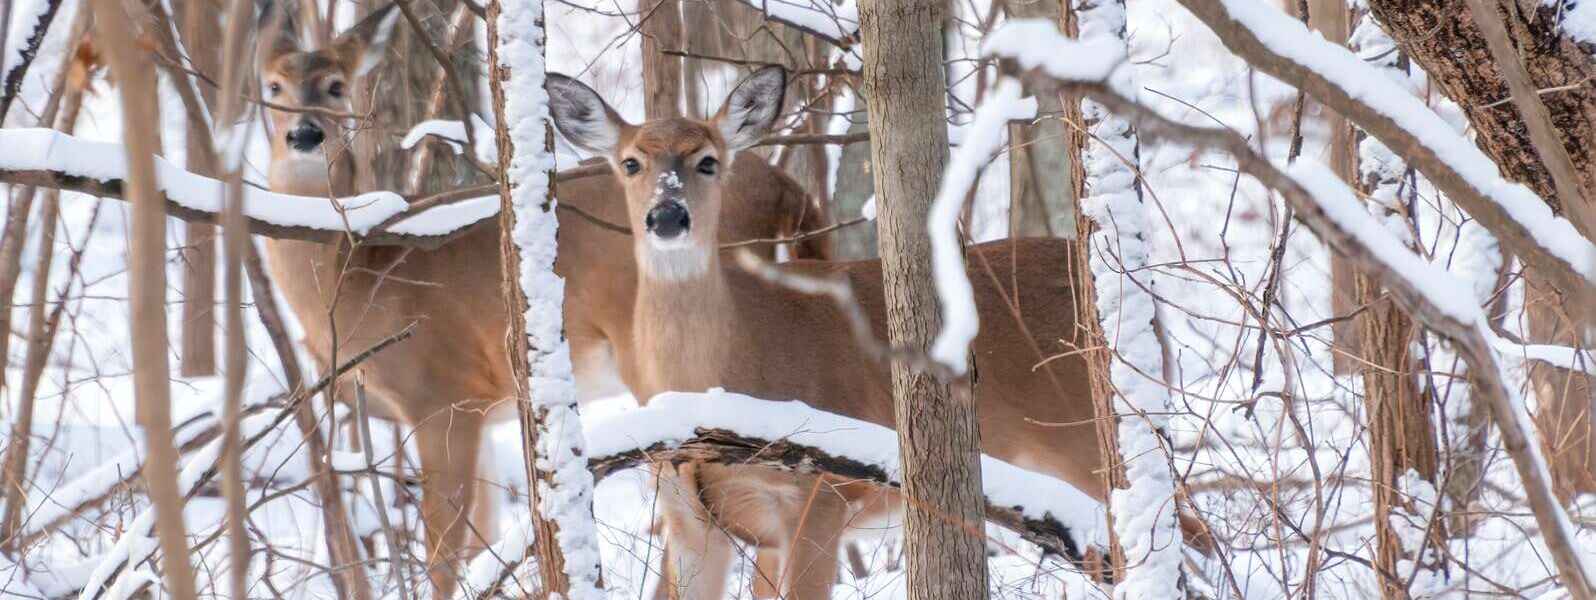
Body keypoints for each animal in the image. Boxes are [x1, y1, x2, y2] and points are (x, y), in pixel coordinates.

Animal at [253, 6, 831, 596]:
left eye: (336, 86)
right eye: (272, 85)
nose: (304, 133)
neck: (357, 273)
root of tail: (792, 191)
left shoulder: (440, 393)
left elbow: (443, 551)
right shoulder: (481, 413)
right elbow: (479, 536)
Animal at [547, 66, 1214, 598]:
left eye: (708, 160)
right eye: (631, 162)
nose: (667, 216)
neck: (723, 375)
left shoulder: (821, 495)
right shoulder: (689, 520)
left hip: (1091, 441)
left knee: (1185, 537)